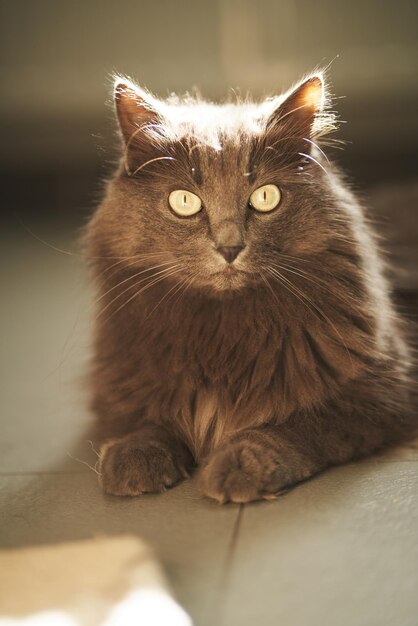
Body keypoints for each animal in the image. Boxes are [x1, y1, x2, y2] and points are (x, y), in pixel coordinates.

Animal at [83, 73, 416, 502]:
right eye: (184, 201)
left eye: (265, 196)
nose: (230, 247)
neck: (221, 334)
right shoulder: (125, 379)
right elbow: (144, 417)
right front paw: (135, 458)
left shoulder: (380, 390)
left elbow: (302, 423)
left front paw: (243, 462)